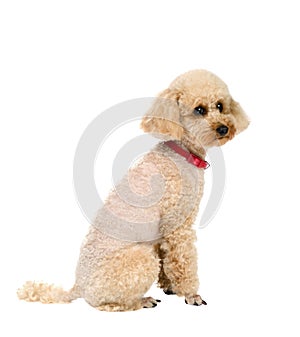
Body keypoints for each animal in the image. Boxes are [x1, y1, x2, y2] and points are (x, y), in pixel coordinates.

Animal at [17, 68, 250, 310]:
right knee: (104, 304)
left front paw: (169, 287)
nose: (224, 128)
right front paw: (190, 294)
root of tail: (78, 286)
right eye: (199, 110)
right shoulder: (178, 227)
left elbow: (167, 262)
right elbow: (183, 262)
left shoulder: (163, 235)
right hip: (141, 259)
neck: (182, 152)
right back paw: (142, 301)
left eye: (220, 106)